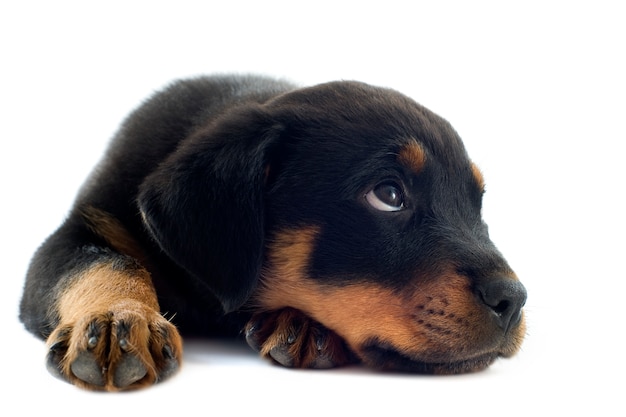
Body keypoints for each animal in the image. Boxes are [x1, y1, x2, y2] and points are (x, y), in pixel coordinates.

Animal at [19, 74, 524, 390]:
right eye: (388, 194)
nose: (514, 299)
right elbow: (103, 262)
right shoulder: (79, 230)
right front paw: (118, 319)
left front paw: (299, 324)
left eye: (477, 205)